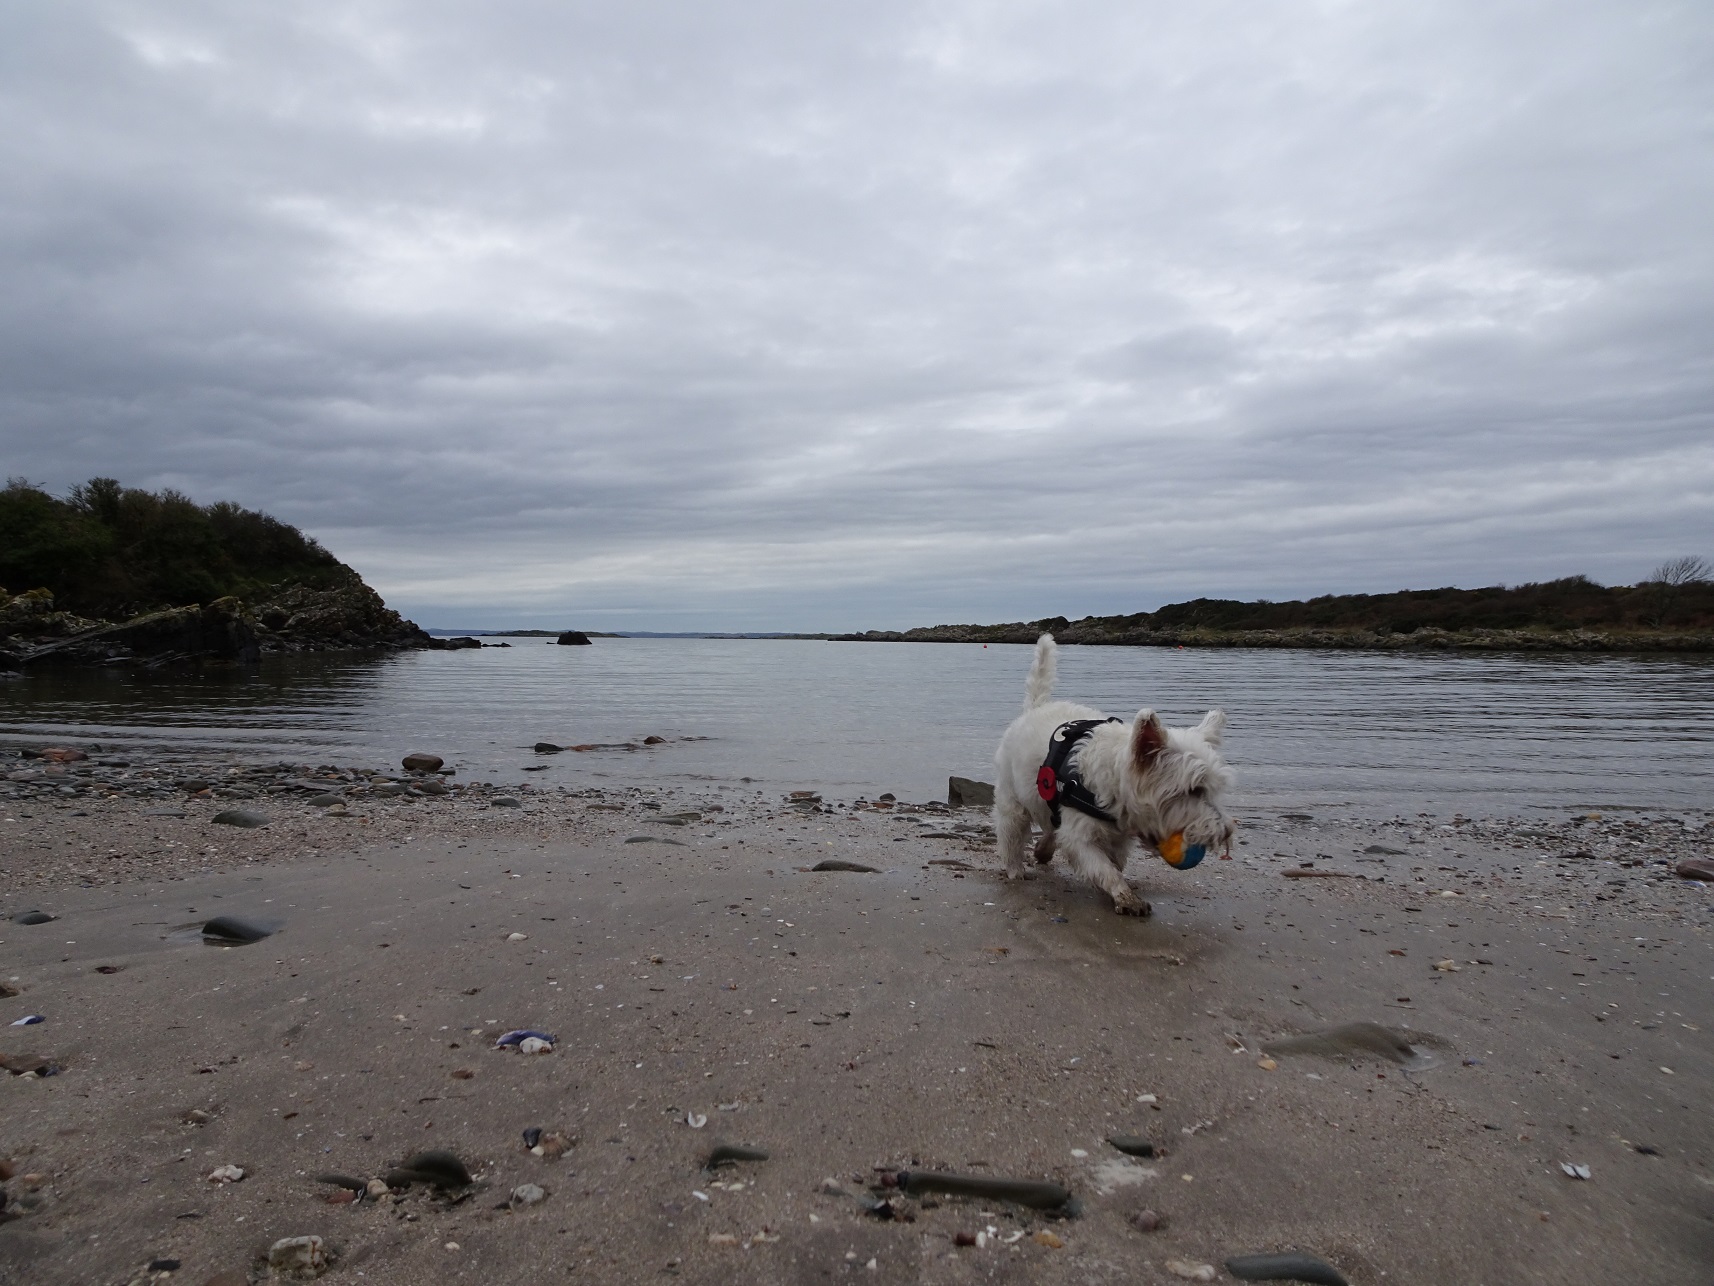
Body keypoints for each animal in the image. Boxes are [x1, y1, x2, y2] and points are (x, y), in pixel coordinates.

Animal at [994, 634, 1234, 919]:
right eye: (1193, 790)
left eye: (1214, 789)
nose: (1225, 831)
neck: (1116, 779)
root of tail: (1035, 708)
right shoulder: (1081, 836)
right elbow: (1103, 868)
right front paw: (1127, 898)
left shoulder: (1118, 838)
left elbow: (1114, 864)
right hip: (1012, 799)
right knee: (1011, 831)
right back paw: (1015, 869)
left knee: (1052, 827)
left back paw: (1043, 850)